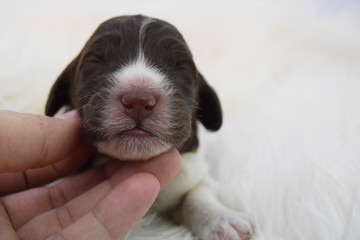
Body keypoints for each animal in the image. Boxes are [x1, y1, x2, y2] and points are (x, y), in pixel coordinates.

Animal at [45, 15, 253, 240]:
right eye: (96, 60)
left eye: (180, 66)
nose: (138, 100)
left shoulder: (193, 173)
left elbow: (198, 192)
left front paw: (222, 220)